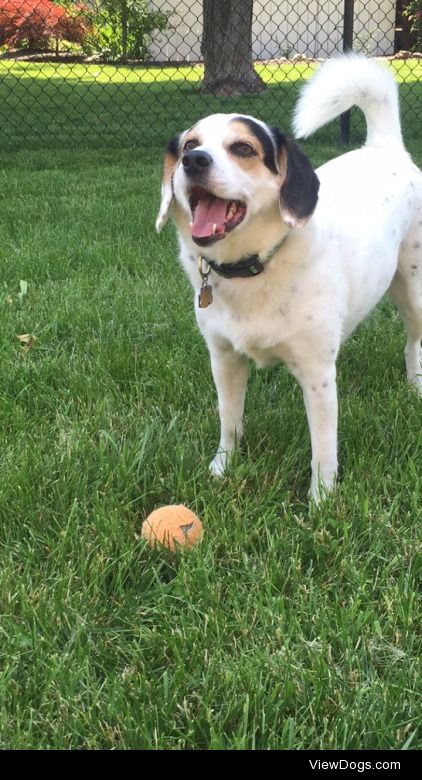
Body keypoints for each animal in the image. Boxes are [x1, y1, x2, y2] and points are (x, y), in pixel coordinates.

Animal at [156, 54, 422, 500]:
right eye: (191, 145)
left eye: (243, 148)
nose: (194, 161)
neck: (253, 265)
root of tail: (384, 148)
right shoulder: (223, 358)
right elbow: (230, 421)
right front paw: (222, 468)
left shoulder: (317, 375)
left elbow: (323, 450)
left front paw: (321, 501)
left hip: (414, 290)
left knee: (414, 342)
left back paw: (416, 386)